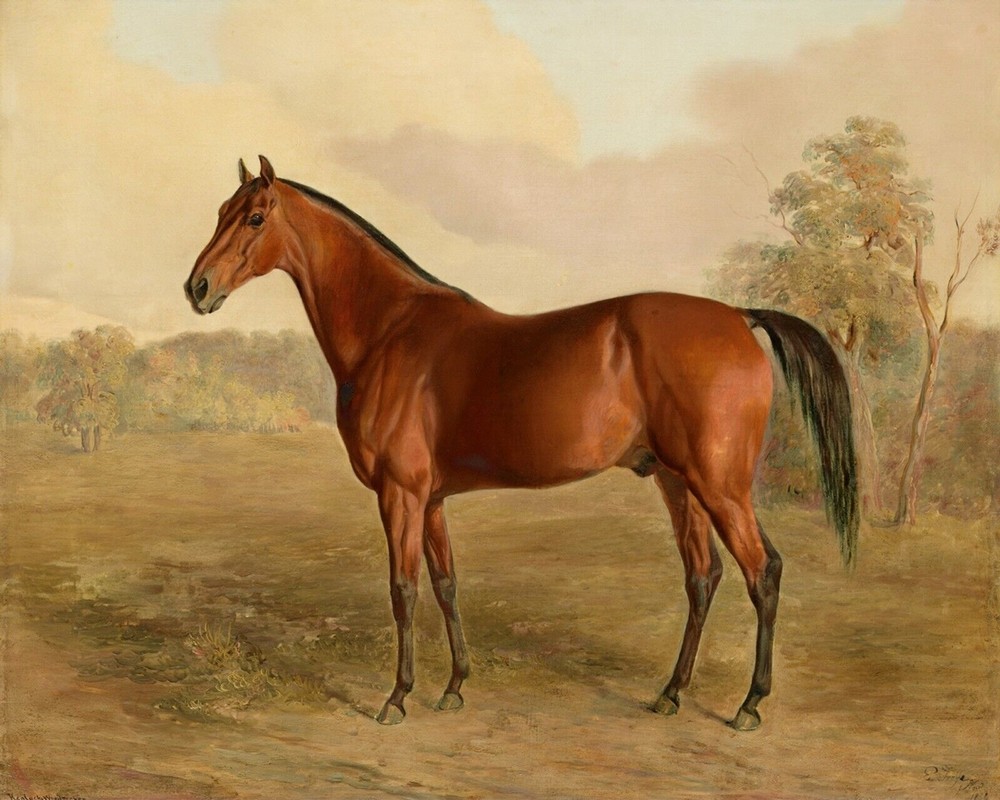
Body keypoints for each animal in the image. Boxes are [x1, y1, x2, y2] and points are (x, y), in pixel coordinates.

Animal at [185, 155, 858, 730]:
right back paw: (670, 694)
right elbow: (446, 584)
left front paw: (397, 698)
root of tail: (739, 316)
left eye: (254, 217)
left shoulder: (400, 495)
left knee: (762, 571)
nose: (198, 288)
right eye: (219, 210)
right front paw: (454, 687)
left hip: (720, 485)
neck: (390, 331)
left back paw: (749, 704)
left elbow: (403, 590)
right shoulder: (431, 500)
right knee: (703, 575)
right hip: (678, 482)